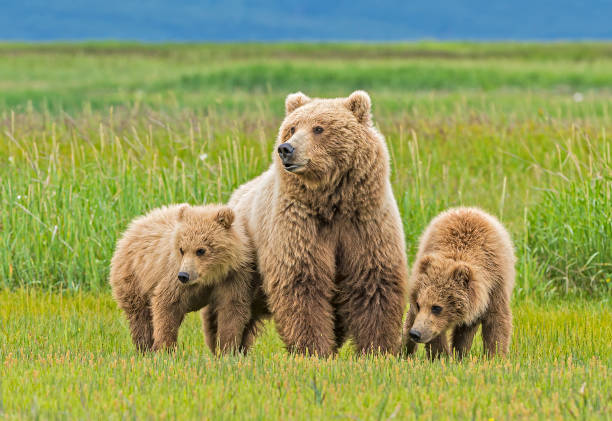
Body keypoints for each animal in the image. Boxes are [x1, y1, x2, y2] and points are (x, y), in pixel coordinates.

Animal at [110, 203, 262, 352]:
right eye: (181, 249)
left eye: (201, 250)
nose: (184, 275)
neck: (210, 276)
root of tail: (130, 228)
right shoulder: (175, 275)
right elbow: (166, 304)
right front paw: (165, 349)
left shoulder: (233, 276)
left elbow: (231, 310)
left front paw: (228, 349)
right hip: (133, 277)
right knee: (140, 317)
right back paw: (145, 348)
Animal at [227, 91, 408, 354]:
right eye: (292, 128)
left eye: (319, 128)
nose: (286, 148)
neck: (332, 203)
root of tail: (236, 194)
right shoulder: (300, 224)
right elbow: (303, 283)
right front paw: (313, 348)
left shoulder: (365, 223)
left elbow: (373, 282)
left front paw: (377, 348)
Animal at [402, 207, 516, 358]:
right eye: (419, 304)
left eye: (436, 307)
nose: (416, 333)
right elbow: (437, 334)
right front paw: (441, 356)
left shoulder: (496, 286)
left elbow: (496, 322)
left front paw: (495, 356)